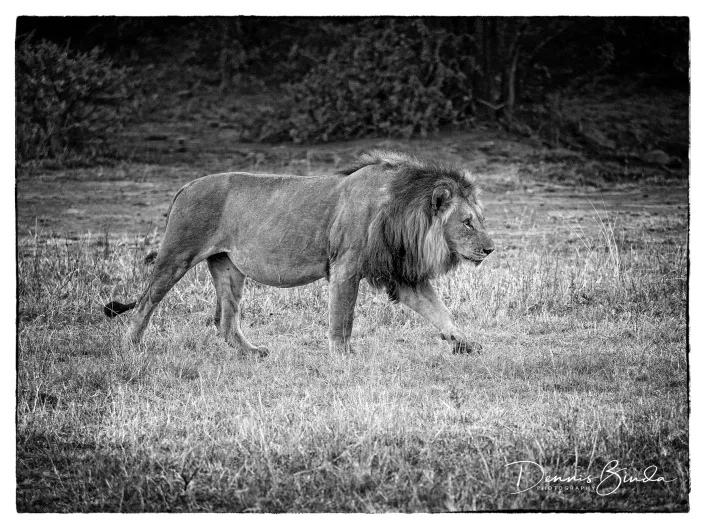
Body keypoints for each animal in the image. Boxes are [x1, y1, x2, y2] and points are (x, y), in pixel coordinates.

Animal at [104, 151, 494, 356]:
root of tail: (185, 185)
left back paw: (252, 354)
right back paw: (131, 347)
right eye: (467, 222)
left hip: (229, 268)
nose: (490, 249)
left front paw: (465, 342)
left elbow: (441, 311)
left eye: (481, 219)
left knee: (226, 323)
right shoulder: (346, 267)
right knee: (146, 302)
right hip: (177, 254)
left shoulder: (401, 275)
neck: (403, 214)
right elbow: (343, 317)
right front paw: (343, 355)